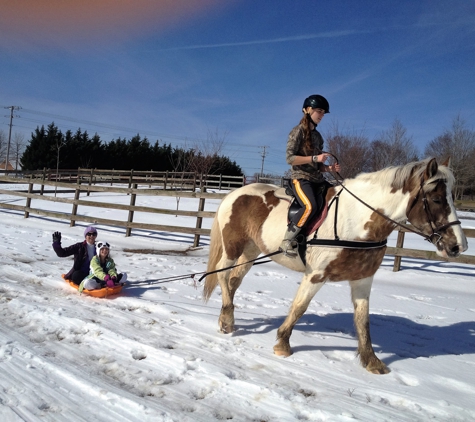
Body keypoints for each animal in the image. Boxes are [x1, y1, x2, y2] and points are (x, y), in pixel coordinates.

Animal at [204, 157, 468, 372]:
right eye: (436, 199)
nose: (459, 246)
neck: (355, 220)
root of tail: (234, 194)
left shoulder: (363, 279)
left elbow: (363, 320)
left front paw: (371, 361)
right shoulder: (316, 275)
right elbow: (299, 307)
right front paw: (282, 344)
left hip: (251, 251)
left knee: (233, 281)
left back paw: (225, 319)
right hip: (232, 248)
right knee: (223, 277)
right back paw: (227, 320)